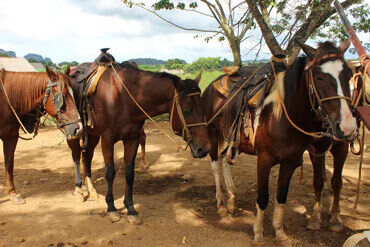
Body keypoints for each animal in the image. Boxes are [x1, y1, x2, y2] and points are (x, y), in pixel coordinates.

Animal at [67, 61, 211, 224]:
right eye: (186, 111)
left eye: (202, 108)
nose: (204, 148)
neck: (123, 98)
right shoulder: (107, 138)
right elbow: (110, 172)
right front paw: (111, 208)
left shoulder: (132, 139)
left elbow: (130, 173)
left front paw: (130, 209)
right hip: (74, 132)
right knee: (76, 156)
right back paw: (79, 190)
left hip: (92, 135)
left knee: (87, 156)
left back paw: (90, 189)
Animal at [204, 39, 356, 246]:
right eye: (318, 77)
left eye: (348, 74)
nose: (348, 127)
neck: (282, 116)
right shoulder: (264, 160)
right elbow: (263, 197)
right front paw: (258, 234)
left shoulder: (291, 161)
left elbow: (281, 196)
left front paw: (280, 233)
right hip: (213, 134)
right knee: (214, 163)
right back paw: (220, 204)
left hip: (231, 140)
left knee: (224, 159)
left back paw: (232, 200)